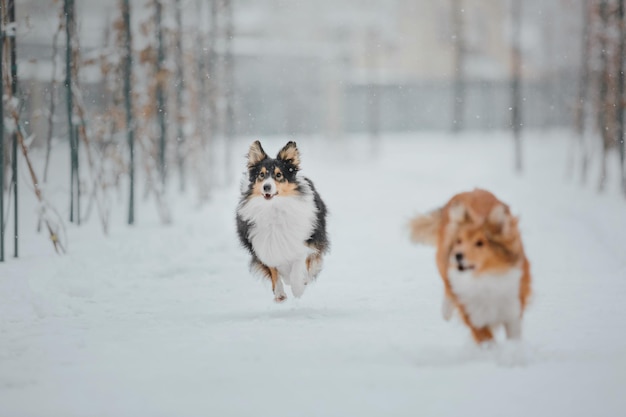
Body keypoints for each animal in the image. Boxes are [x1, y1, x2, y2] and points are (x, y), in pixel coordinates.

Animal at [236, 141, 330, 300]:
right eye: (261, 174)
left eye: (279, 175)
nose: (266, 187)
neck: (274, 208)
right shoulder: (263, 244)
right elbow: (273, 268)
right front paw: (279, 293)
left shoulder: (304, 240)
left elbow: (299, 263)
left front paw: (298, 288)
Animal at [410, 188, 532, 342]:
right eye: (459, 241)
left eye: (480, 243)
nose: (457, 255)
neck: (484, 279)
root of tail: (469, 191)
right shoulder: (473, 316)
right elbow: (487, 340)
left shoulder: (512, 310)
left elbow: (514, 337)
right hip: (443, 262)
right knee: (447, 287)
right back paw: (446, 311)